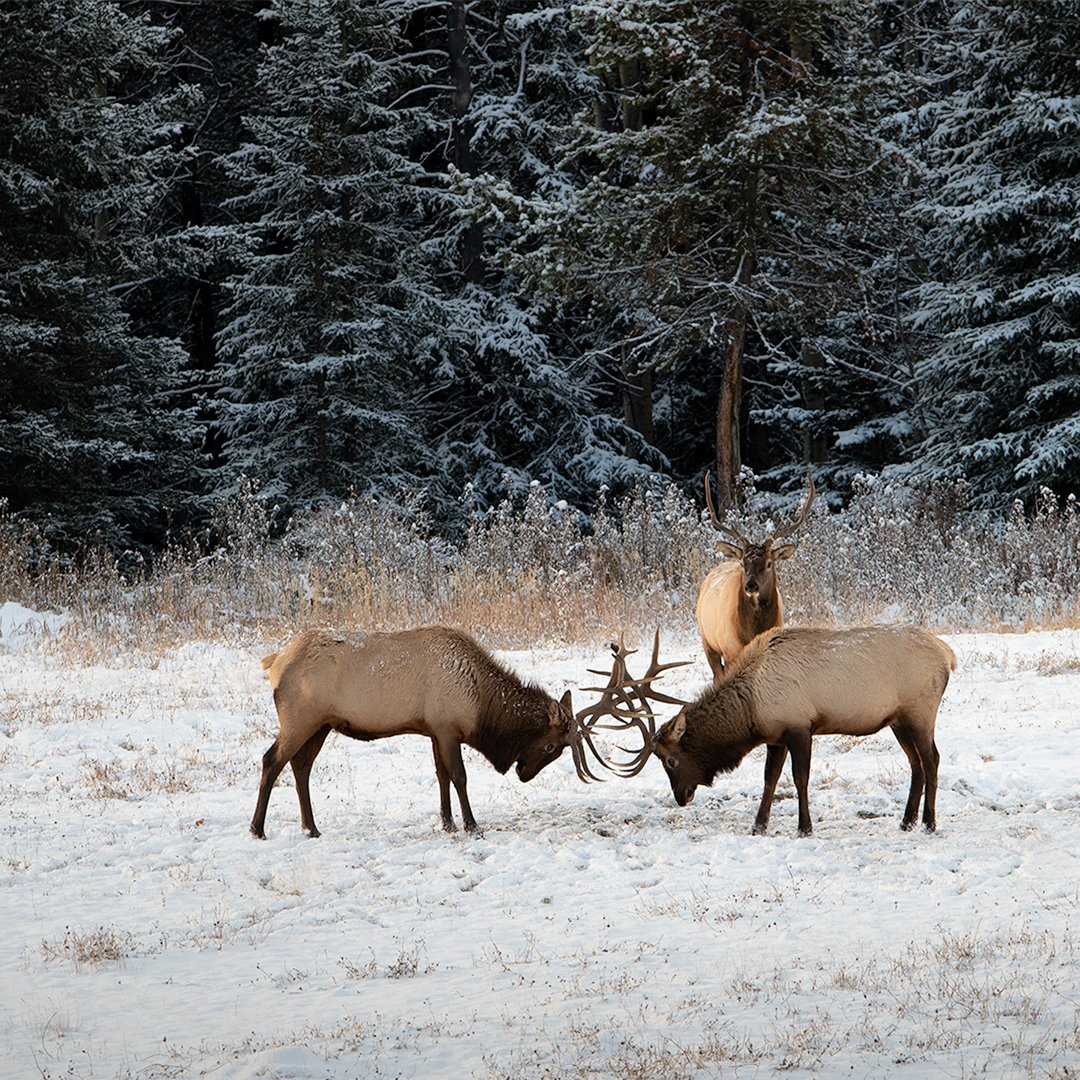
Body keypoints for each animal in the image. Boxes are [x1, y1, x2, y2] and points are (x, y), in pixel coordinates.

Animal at [249, 626, 624, 839]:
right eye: (550, 747)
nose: (522, 773)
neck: (480, 703)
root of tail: (275, 662)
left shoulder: (432, 730)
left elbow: (440, 774)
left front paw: (447, 823)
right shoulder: (447, 728)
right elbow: (458, 776)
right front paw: (470, 824)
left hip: (321, 725)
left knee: (300, 767)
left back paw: (310, 828)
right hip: (300, 719)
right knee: (271, 761)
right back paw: (257, 829)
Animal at [594, 625, 955, 837]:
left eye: (670, 760)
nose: (681, 797)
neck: (751, 712)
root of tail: (948, 655)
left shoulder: (799, 727)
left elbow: (799, 779)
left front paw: (804, 827)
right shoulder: (776, 737)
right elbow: (769, 780)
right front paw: (758, 825)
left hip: (920, 711)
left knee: (932, 760)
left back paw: (928, 822)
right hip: (898, 720)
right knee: (916, 764)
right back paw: (906, 821)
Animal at [696, 474, 816, 682]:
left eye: (769, 563)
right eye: (743, 563)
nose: (751, 586)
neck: (753, 631)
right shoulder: (730, 650)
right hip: (707, 640)